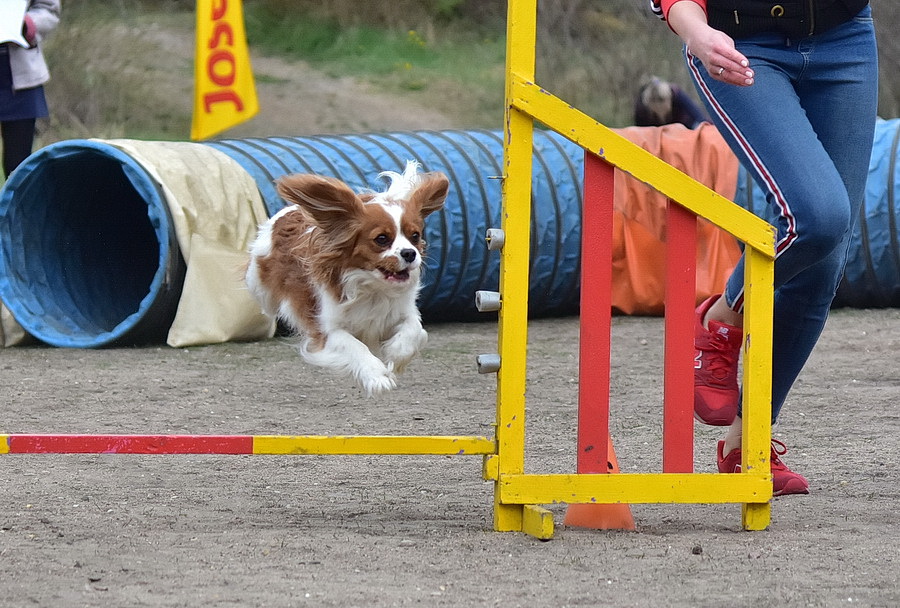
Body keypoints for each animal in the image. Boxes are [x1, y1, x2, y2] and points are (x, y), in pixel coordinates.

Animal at [246, 161, 449, 396]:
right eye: (381, 239)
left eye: (415, 236)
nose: (410, 253)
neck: (373, 288)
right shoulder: (328, 331)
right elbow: (355, 346)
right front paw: (377, 377)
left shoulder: (403, 312)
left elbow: (414, 330)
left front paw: (395, 355)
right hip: (260, 286)